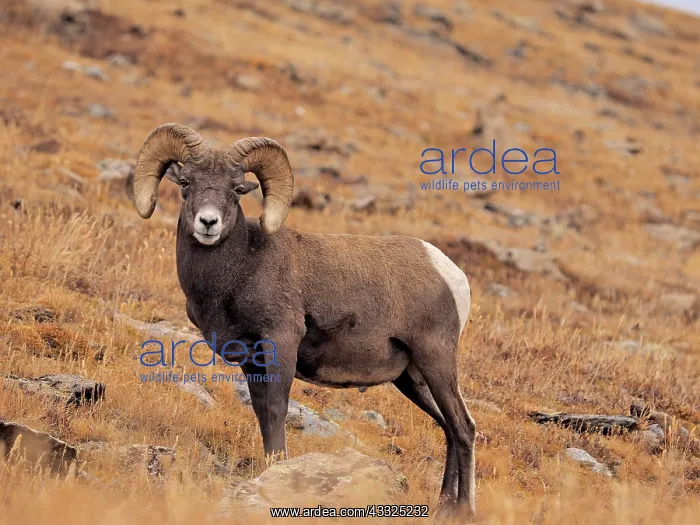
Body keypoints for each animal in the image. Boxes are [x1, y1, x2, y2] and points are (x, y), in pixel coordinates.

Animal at [130, 123, 477, 518]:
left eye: (237, 189)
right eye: (186, 182)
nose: (208, 222)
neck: (241, 269)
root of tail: (451, 275)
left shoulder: (281, 342)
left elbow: (277, 410)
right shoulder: (252, 362)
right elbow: (262, 413)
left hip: (436, 362)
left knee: (463, 428)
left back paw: (464, 509)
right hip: (412, 379)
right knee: (448, 427)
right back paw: (443, 507)